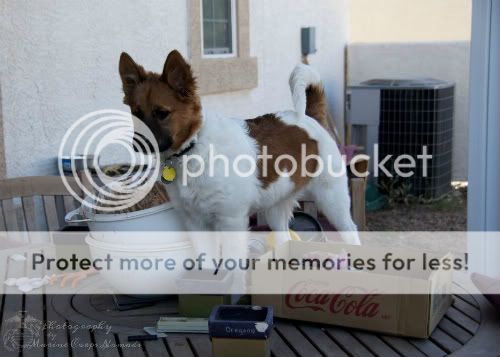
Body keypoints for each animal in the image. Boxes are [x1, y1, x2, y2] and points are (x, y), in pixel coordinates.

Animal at [117, 50, 360, 252]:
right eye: (136, 113)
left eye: (162, 113)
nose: (136, 144)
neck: (193, 149)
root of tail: (311, 118)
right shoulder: (195, 223)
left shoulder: (231, 221)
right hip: (276, 207)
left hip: (333, 201)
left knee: (352, 233)